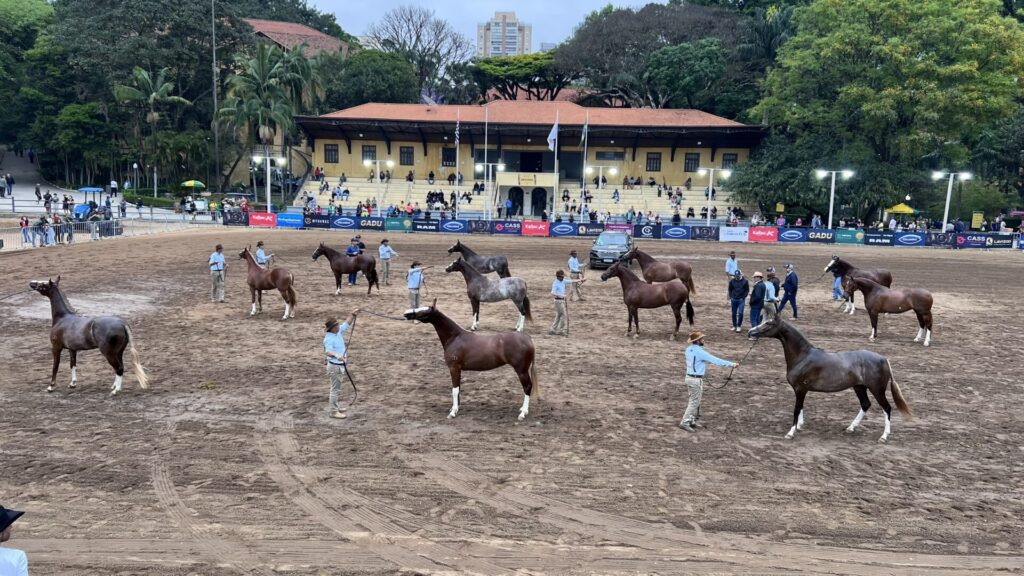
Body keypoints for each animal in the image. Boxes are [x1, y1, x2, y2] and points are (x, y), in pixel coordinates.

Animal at [403, 303, 540, 420]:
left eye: (424, 311)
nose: (406, 314)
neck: (455, 337)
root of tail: (528, 338)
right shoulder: (458, 369)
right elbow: (458, 389)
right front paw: (455, 408)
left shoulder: (454, 368)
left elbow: (454, 390)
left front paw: (453, 412)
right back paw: (522, 409)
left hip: (521, 371)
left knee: (527, 387)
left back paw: (523, 413)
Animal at [745, 313, 913, 438]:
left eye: (768, 323)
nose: (750, 332)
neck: (803, 356)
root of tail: (883, 358)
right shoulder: (801, 390)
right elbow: (801, 407)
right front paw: (799, 426)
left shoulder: (800, 389)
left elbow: (796, 409)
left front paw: (791, 432)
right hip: (859, 387)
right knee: (865, 404)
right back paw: (851, 428)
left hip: (877, 390)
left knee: (887, 408)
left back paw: (884, 436)